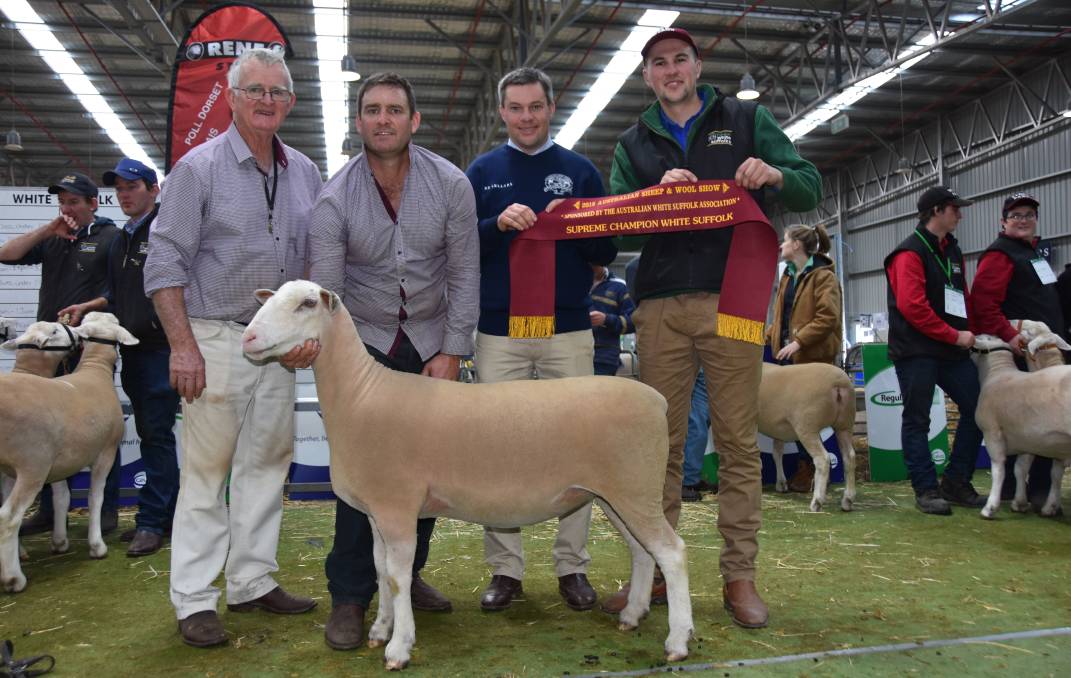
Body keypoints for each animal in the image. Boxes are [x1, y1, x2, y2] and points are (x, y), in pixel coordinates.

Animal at [240, 280, 694, 672]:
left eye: (306, 304)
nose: (248, 339)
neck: (360, 395)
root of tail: (655, 398)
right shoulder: (375, 512)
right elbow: (379, 569)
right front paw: (380, 629)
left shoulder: (397, 507)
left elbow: (397, 577)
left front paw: (399, 647)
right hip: (616, 494)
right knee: (641, 551)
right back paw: (632, 615)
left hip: (635, 488)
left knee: (671, 552)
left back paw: (677, 640)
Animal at [766, 362, 856, 509]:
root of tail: (838, 384)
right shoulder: (777, 430)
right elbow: (777, 454)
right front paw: (781, 483)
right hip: (844, 425)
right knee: (849, 457)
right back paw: (848, 499)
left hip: (807, 427)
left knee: (822, 459)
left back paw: (817, 501)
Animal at [972, 329, 1071, 518]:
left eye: (984, 338)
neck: (997, 373)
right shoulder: (1029, 438)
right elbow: (1023, 469)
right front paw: (1022, 503)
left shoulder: (992, 432)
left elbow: (998, 470)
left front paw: (990, 507)